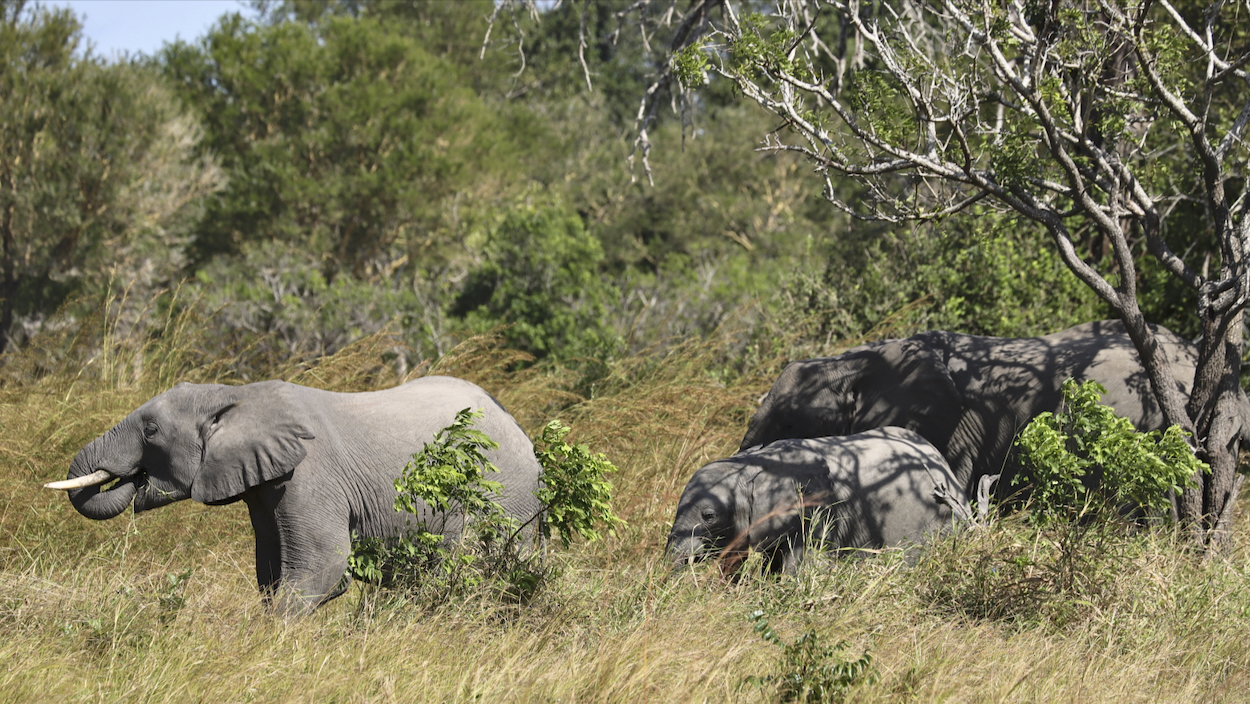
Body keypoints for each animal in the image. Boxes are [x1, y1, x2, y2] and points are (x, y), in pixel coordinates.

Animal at [45, 377, 542, 615]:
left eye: (150, 431)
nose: (131, 478)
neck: (235, 395)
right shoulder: (264, 488)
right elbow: (271, 567)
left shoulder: (310, 476)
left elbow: (323, 564)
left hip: (505, 498)